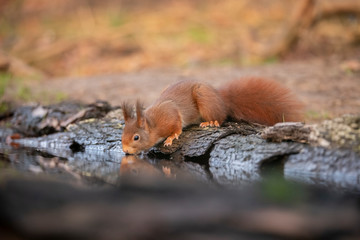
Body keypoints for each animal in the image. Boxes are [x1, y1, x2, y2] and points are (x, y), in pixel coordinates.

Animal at [121, 78, 304, 155]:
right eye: (122, 135)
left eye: (136, 137)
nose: (125, 150)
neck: (153, 124)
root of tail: (221, 99)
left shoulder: (170, 114)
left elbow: (177, 125)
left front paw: (171, 137)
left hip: (205, 99)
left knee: (221, 116)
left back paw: (212, 122)